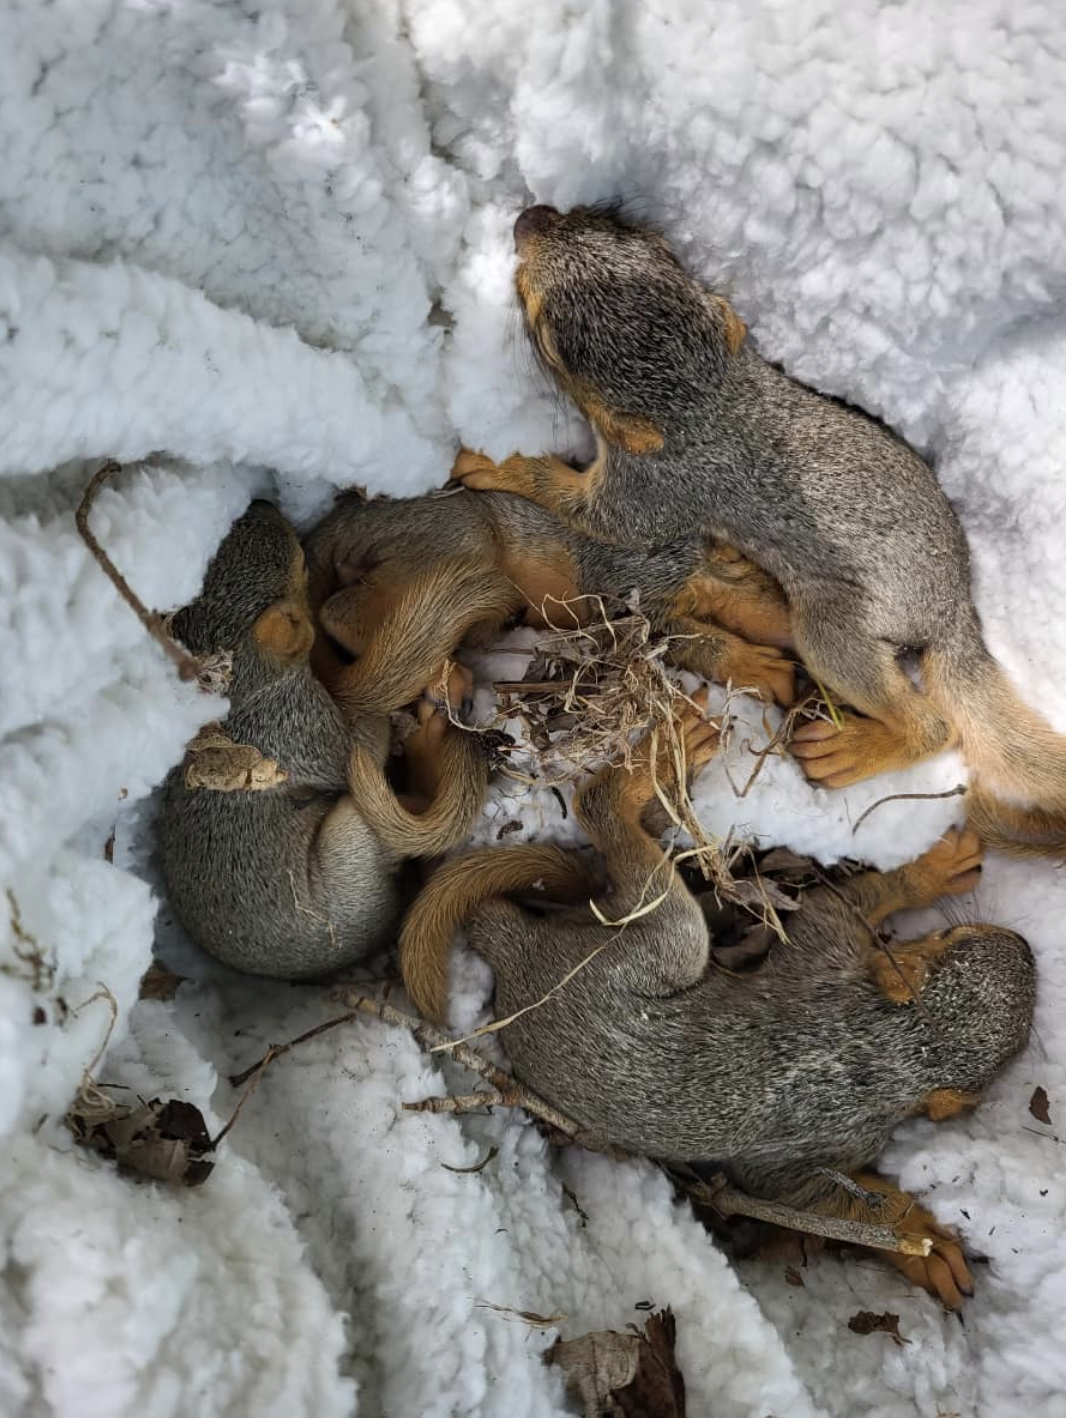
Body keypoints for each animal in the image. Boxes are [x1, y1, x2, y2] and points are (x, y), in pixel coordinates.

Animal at [158, 500, 487, 979]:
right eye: (297, 564)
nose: (262, 502)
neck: (240, 694)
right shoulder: (299, 724)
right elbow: (349, 751)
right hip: (352, 844)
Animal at [303, 485, 794, 717]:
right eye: (783, 590)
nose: (796, 638)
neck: (696, 562)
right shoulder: (628, 582)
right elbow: (680, 634)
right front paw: (760, 668)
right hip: (455, 540)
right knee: (341, 612)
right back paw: (443, 675)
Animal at [398, 701, 1035, 1308]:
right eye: (947, 937)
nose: (1028, 950)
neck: (893, 1044)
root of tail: (519, 951)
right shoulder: (826, 961)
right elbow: (843, 903)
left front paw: (919, 1244)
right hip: (672, 945)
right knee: (613, 832)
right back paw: (647, 770)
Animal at [452, 202, 1066, 857]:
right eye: (632, 236)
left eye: (549, 337)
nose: (529, 217)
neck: (710, 399)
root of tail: (953, 610)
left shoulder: (653, 493)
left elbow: (600, 518)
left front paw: (500, 466)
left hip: (835, 625)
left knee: (933, 724)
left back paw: (856, 750)